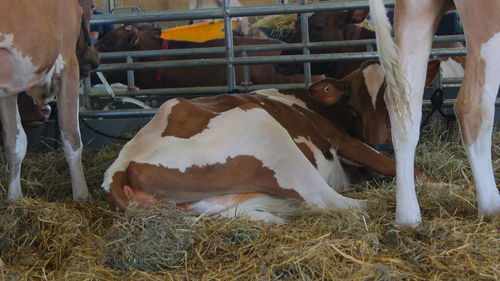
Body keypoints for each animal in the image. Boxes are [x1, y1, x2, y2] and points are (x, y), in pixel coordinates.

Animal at [0, 0, 99, 201]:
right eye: (92, 7)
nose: (94, 61)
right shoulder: (68, 63)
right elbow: (71, 136)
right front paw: (82, 196)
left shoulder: (9, 84)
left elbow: (14, 142)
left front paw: (14, 199)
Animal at [101, 61, 402, 223]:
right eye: (353, 107)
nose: (382, 144)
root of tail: (123, 164)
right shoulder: (341, 139)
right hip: (266, 130)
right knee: (340, 202)